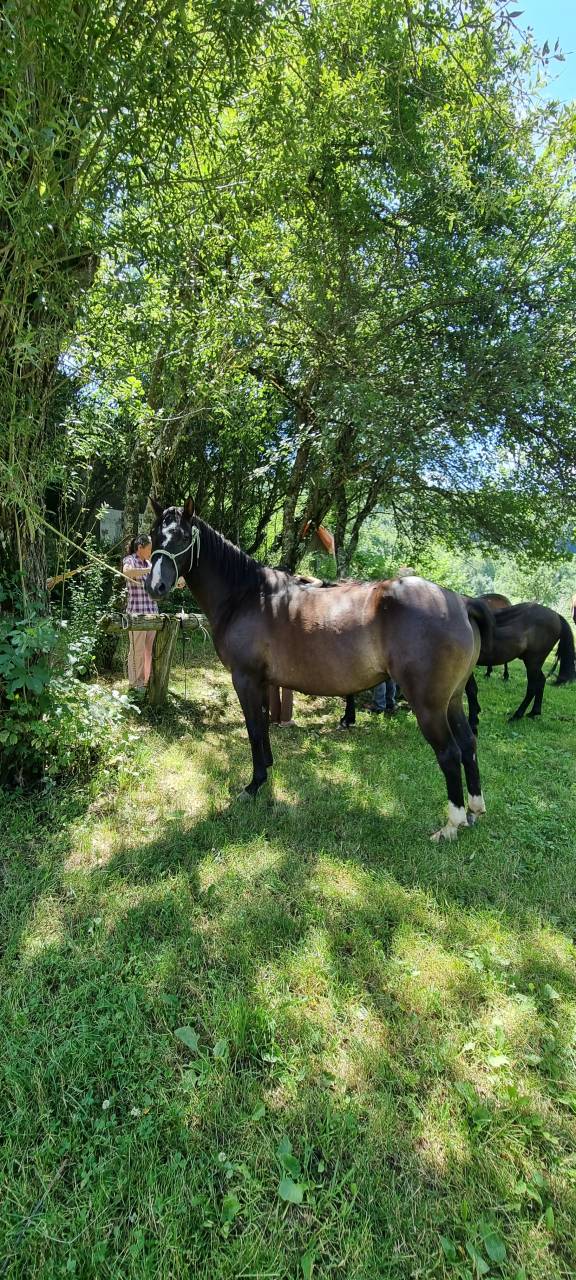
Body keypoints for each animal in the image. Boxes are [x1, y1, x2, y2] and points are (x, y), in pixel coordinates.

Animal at [146, 499, 494, 841]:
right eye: (153, 535)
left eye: (182, 536)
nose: (155, 586)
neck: (247, 596)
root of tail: (460, 602)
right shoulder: (262, 682)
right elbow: (263, 726)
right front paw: (267, 770)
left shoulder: (244, 679)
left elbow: (254, 728)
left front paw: (254, 785)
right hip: (452, 700)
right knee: (468, 744)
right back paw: (474, 810)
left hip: (429, 706)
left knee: (449, 753)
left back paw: (451, 825)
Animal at [466, 602, 576, 732]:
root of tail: (556, 615)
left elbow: (470, 690)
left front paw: (473, 721)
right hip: (534, 663)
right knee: (541, 681)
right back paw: (534, 712)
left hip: (533, 662)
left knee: (532, 687)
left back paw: (517, 716)